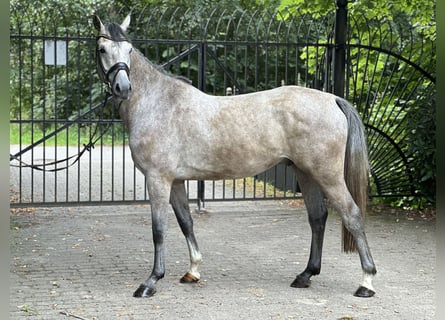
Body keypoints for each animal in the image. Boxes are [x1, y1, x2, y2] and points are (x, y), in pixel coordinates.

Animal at [93, 13, 374, 298]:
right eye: (102, 49)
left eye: (129, 49)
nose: (123, 87)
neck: (157, 103)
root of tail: (333, 99)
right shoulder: (176, 181)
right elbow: (186, 222)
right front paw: (193, 270)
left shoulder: (157, 179)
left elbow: (159, 230)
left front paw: (151, 281)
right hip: (305, 173)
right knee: (317, 218)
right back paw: (306, 275)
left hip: (328, 176)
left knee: (352, 214)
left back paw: (366, 281)